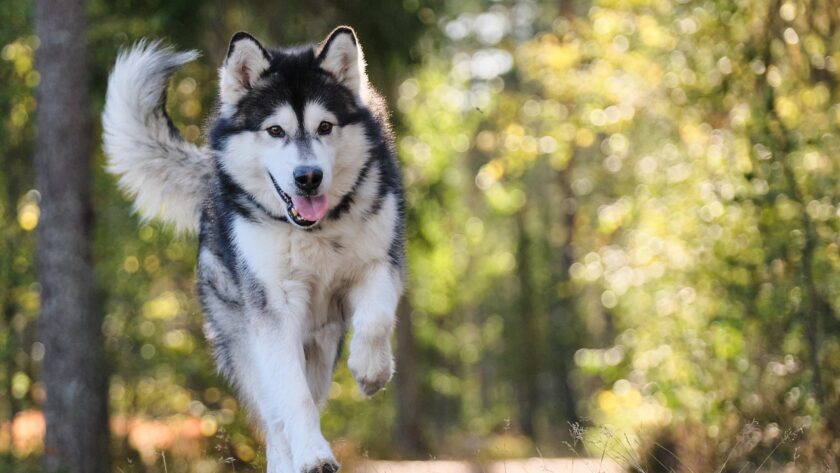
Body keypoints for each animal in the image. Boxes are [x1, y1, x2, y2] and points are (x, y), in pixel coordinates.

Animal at [103, 26, 406, 472]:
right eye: (275, 131)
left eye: (326, 126)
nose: (308, 177)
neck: (314, 232)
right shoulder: (274, 310)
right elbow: (293, 397)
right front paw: (313, 454)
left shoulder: (380, 263)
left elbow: (376, 321)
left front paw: (371, 372)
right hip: (246, 342)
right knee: (277, 420)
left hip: (320, 346)